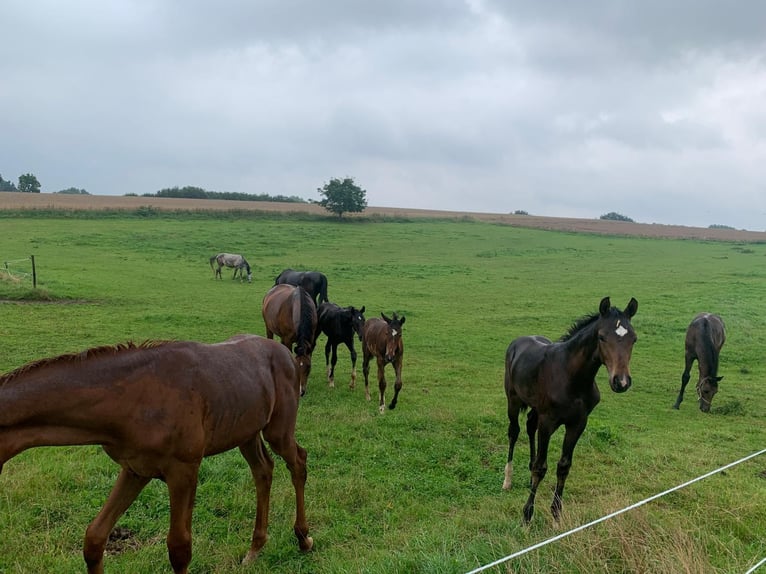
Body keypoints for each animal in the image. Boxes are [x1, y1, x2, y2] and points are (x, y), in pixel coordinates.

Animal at [0, 335, 312, 574]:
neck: (134, 399)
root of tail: (287, 354)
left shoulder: (183, 471)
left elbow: (179, 549)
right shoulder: (135, 470)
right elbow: (95, 538)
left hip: (278, 431)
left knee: (298, 462)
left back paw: (303, 538)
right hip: (246, 433)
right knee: (263, 470)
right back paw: (255, 548)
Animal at [503, 296, 638, 524]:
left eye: (633, 339)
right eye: (601, 337)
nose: (621, 382)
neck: (571, 376)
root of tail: (517, 342)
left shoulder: (578, 423)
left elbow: (564, 466)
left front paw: (557, 513)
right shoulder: (548, 422)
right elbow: (542, 467)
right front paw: (527, 515)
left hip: (536, 408)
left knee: (530, 425)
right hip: (513, 400)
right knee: (514, 432)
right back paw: (507, 480)